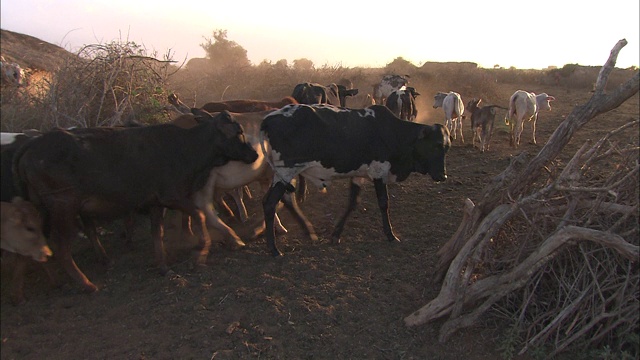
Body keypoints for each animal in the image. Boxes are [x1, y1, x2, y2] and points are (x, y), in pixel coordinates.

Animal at [260, 102, 450, 258]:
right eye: (436, 146)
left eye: (446, 147)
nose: (443, 176)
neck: (393, 133)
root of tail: (269, 119)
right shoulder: (378, 172)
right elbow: (383, 203)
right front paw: (390, 235)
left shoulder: (358, 175)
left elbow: (353, 202)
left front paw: (336, 234)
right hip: (286, 172)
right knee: (270, 203)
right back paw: (274, 249)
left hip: (282, 175)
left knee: (275, 200)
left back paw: (306, 232)